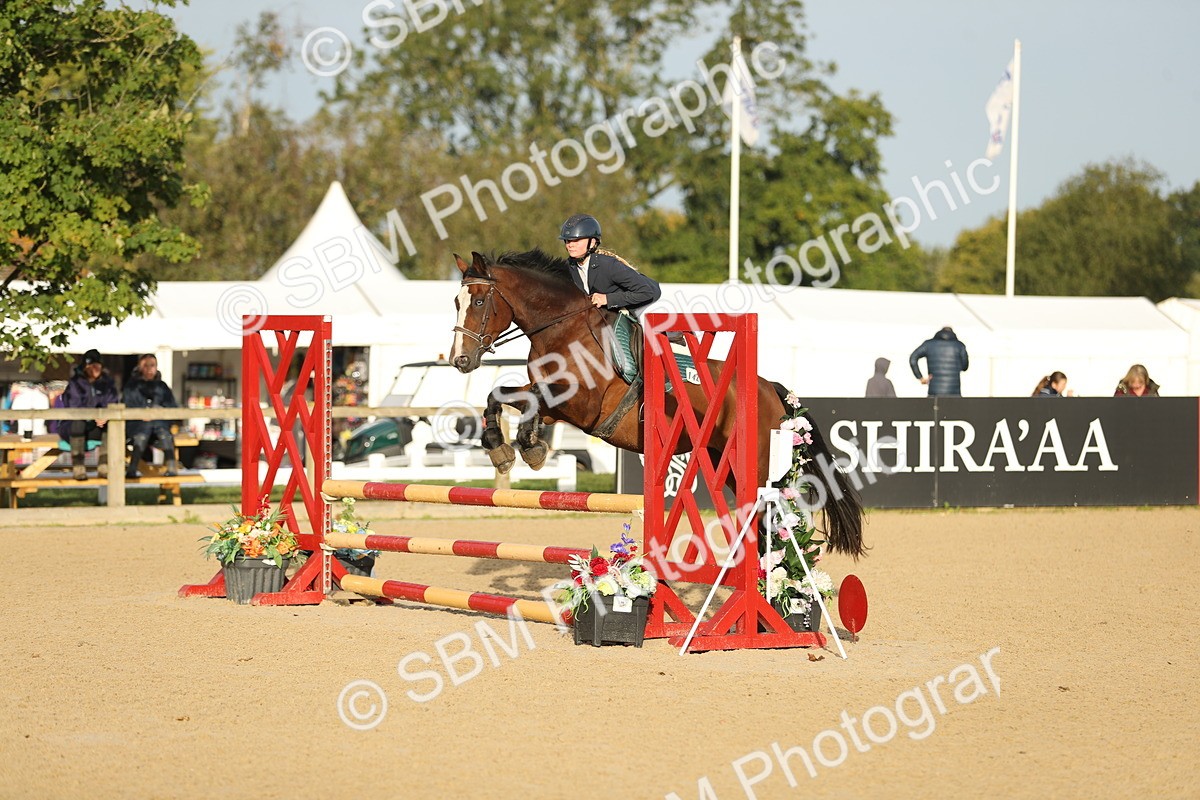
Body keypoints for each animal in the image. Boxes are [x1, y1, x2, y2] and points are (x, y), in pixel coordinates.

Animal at [448, 249, 865, 558]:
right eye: (456, 300)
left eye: (480, 300)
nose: (460, 361)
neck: (562, 328)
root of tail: (770, 388)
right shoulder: (553, 403)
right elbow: (502, 396)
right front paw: (504, 447)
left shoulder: (582, 405)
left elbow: (530, 399)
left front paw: (528, 446)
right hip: (723, 463)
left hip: (757, 465)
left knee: (769, 520)